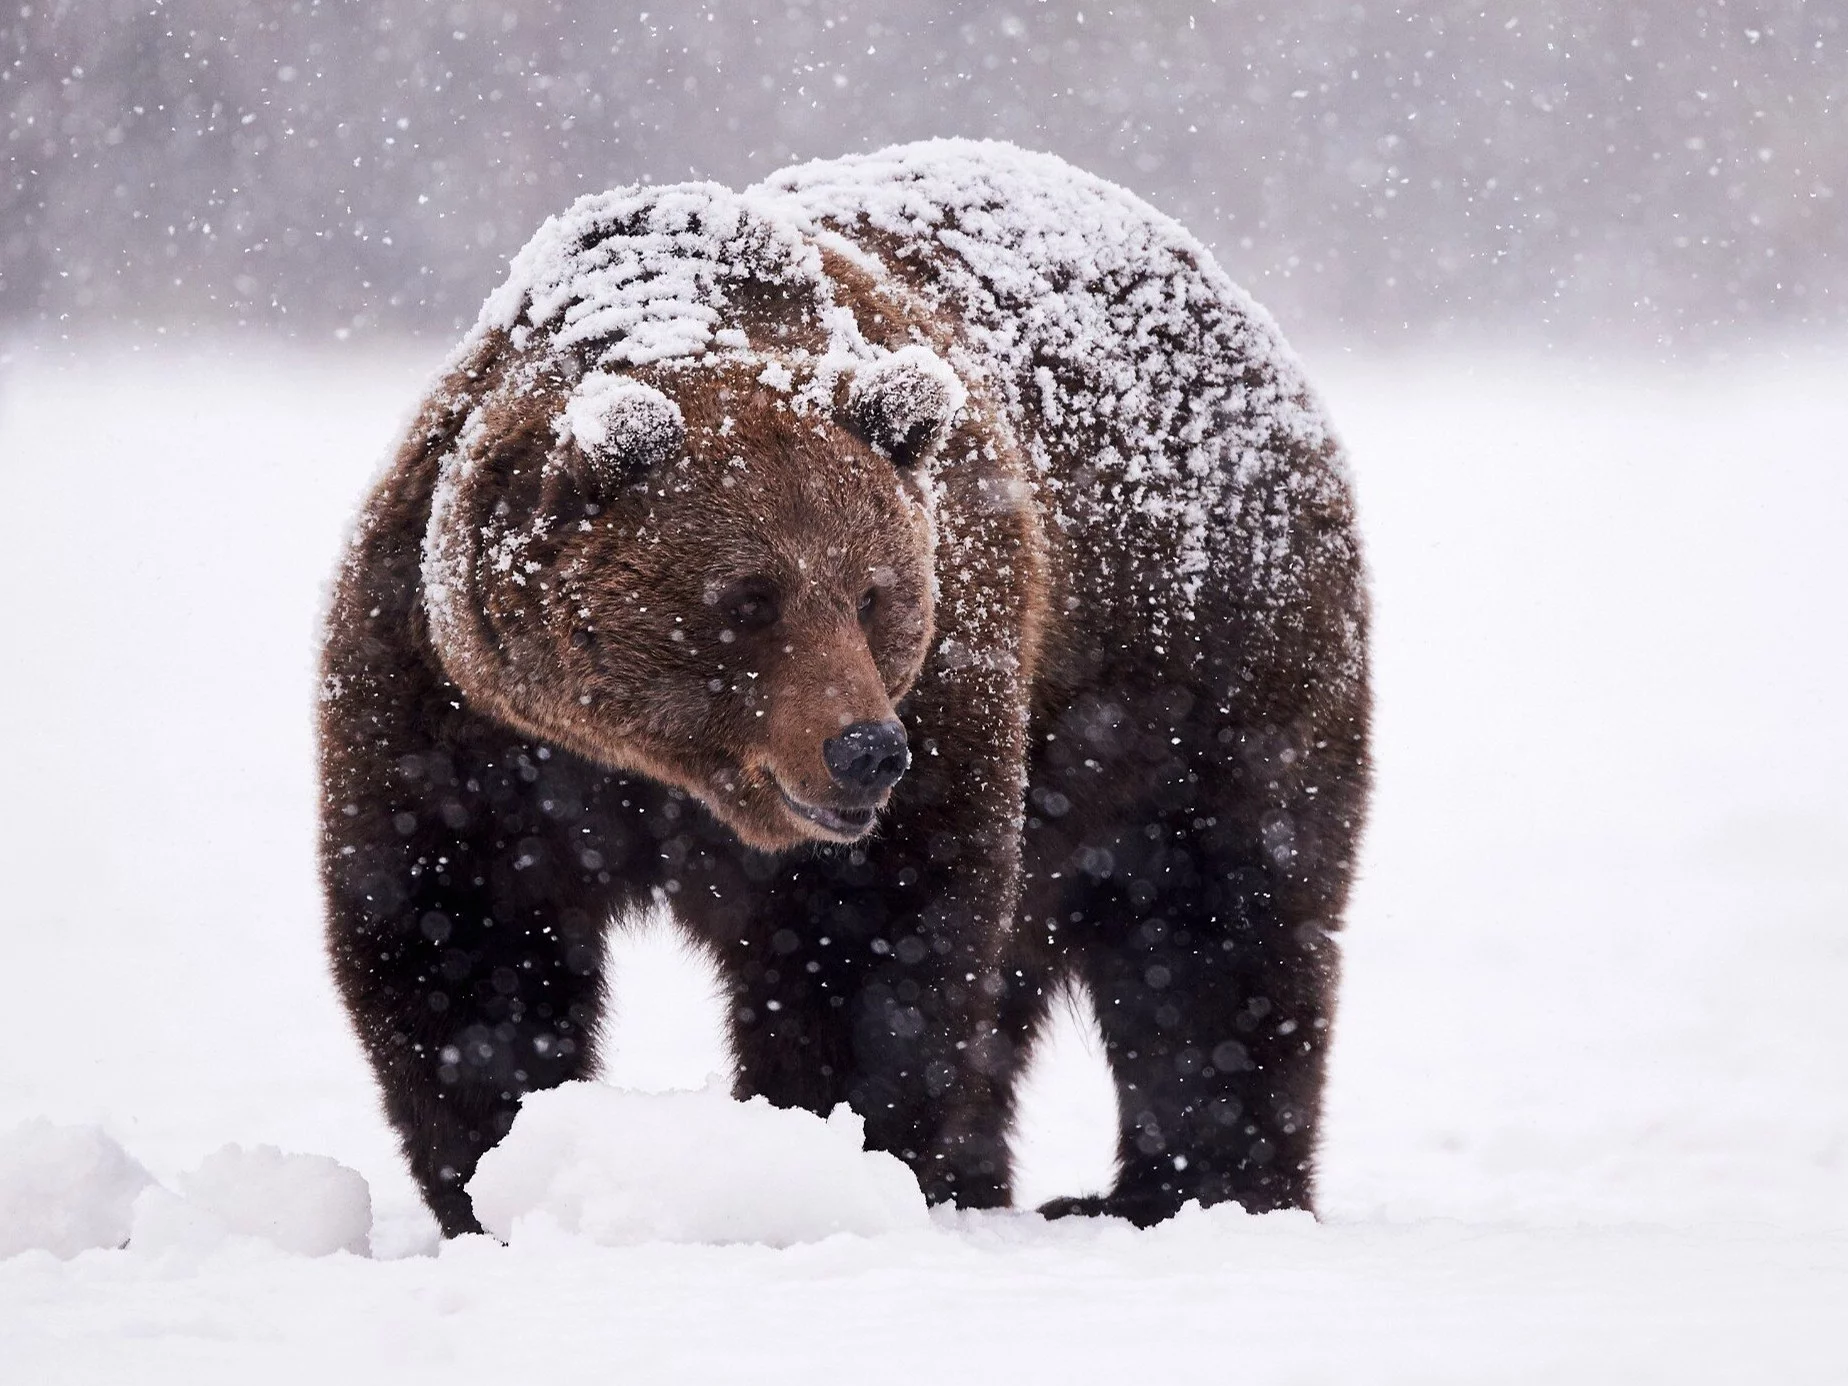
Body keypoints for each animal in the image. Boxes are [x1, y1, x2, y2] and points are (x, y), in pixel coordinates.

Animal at [317, 141, 1367, 1234]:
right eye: (748, 597)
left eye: (873, 593)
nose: (866, 749)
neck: (659, 770)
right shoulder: (460, 717)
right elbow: (460, 942)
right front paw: (496, 1177)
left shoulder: (952, 679)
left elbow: (867, 954)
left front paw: (821, 1159)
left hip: (1194, 670)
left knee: (1217, 920)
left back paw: (1193, 1189)